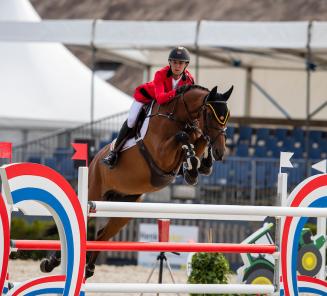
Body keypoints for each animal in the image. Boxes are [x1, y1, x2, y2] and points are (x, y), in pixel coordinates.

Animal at [40, 84, 233, 278]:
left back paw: (88, 269)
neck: (178, 116)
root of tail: (94, 161)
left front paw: (197, 167)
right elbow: (182, 137)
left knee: (103, 234)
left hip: (125, 207)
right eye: (210, 115)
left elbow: (197, 142)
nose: (220, 152)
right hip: (94, 193)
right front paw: (193, 165)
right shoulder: (161, 154)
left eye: (227, 116)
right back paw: (51, 263)